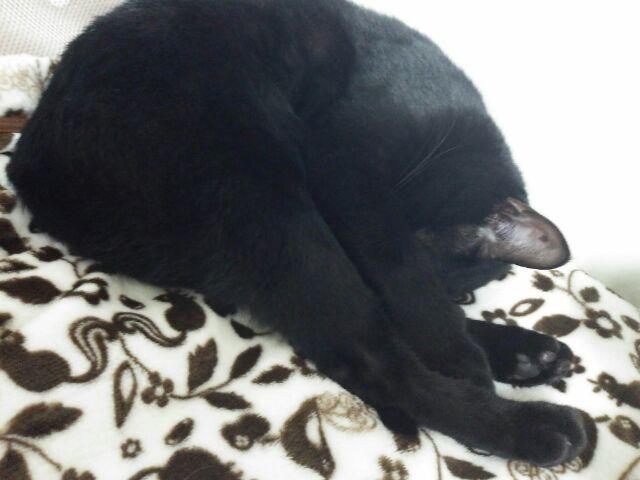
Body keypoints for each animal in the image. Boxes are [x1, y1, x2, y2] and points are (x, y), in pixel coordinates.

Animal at [8, 0, 585, 466]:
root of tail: (33, 168)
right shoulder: (353, 181)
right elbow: (411, 290)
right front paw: (465, 360)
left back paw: (529, 356)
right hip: (258, 189)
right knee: (372, 356)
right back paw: (526, 424)